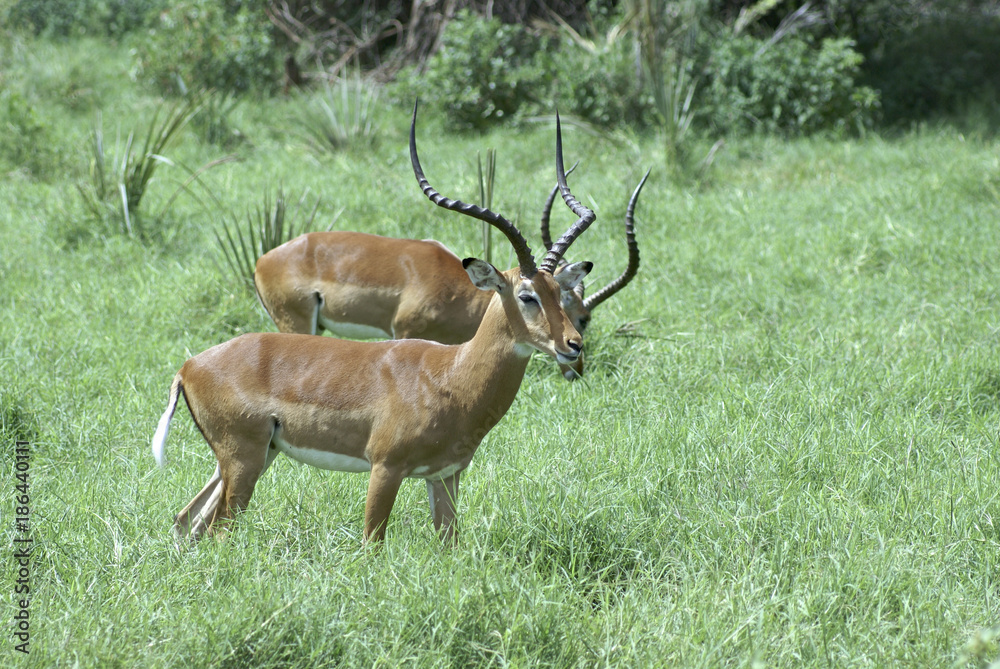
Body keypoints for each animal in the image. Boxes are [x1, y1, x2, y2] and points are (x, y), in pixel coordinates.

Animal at [151, 104, 595, 544]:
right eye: (526, 295)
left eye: (560, 292)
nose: (573, 346)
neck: (450, 377)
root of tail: (189, 367)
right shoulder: (385, 469)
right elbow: (372, 544)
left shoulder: (445, 476)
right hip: (244, 459)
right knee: (217, 530)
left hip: (253, 457)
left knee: (187, 520)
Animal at [253, 158, 649, 380]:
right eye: (528, 296)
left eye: (557, 294)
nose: (576, 364)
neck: (456, 290)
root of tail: (263, 259)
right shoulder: (403, 333)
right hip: (297, 324)